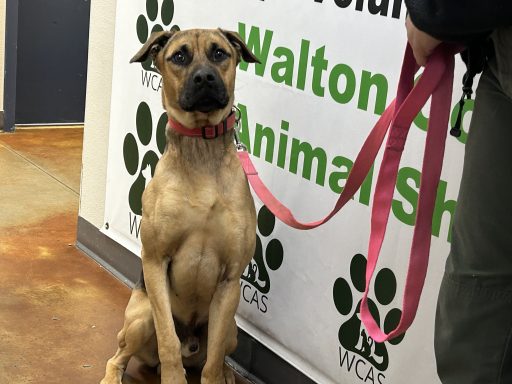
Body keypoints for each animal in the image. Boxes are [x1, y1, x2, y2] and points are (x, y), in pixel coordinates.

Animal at [100, 27, 260, 384]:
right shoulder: (155, 260)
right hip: (140, 318)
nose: (204, 78)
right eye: (180, 56)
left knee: (216, 354)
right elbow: (168, 343)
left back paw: (228, 373)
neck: (201, 148)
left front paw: (216, 376)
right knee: (119, 356)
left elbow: (212, 359)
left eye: (219, 53)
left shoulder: (230, 280)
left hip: (231, 328)